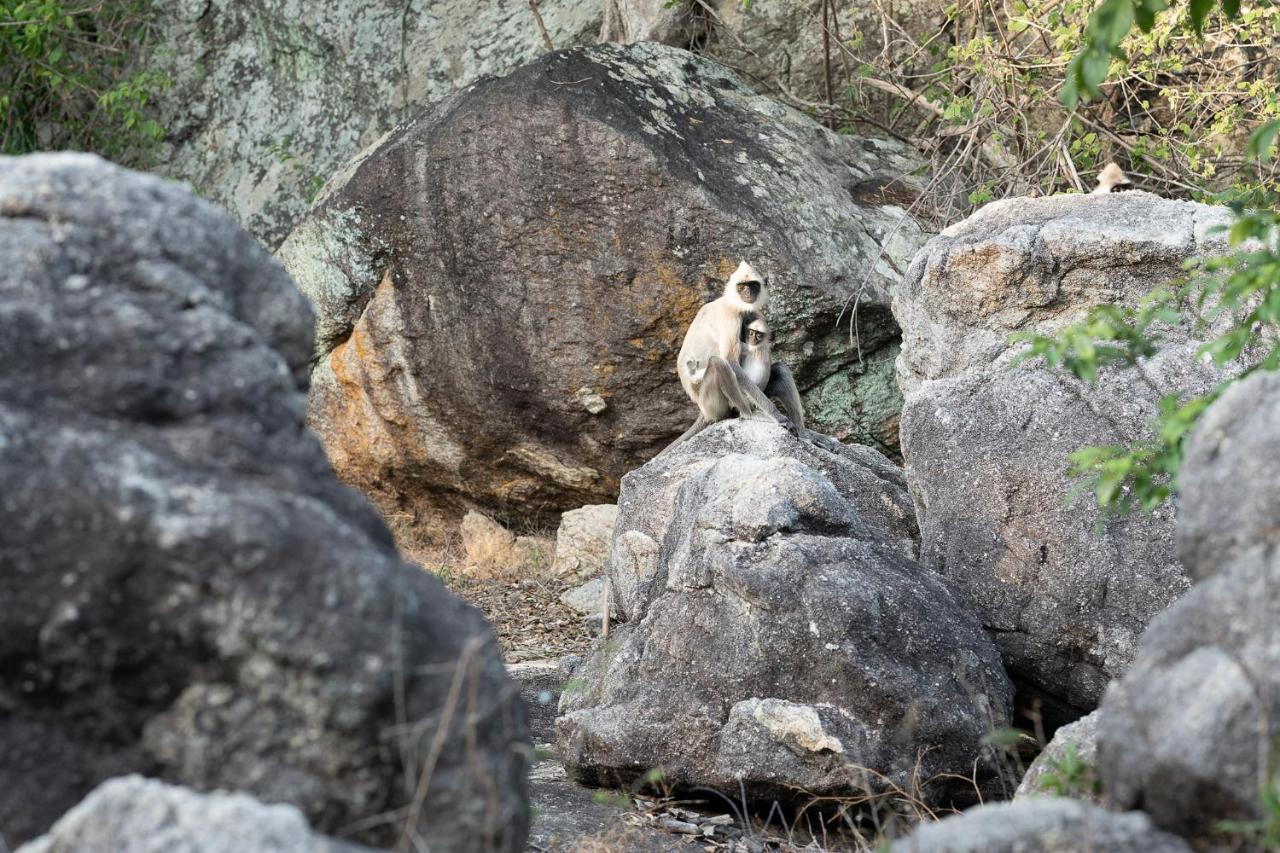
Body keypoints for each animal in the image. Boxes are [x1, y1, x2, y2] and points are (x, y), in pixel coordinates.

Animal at [665, 258, 793, 448]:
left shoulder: (751, 313)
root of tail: (703, 411)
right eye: (742, 286)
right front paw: (777, 416)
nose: (747, 292)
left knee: (781, 370)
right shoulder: (730, 316)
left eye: (753, 285)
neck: (734, 304)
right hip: (713, 403)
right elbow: (731, 361)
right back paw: (749, 414)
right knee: (719, 363)